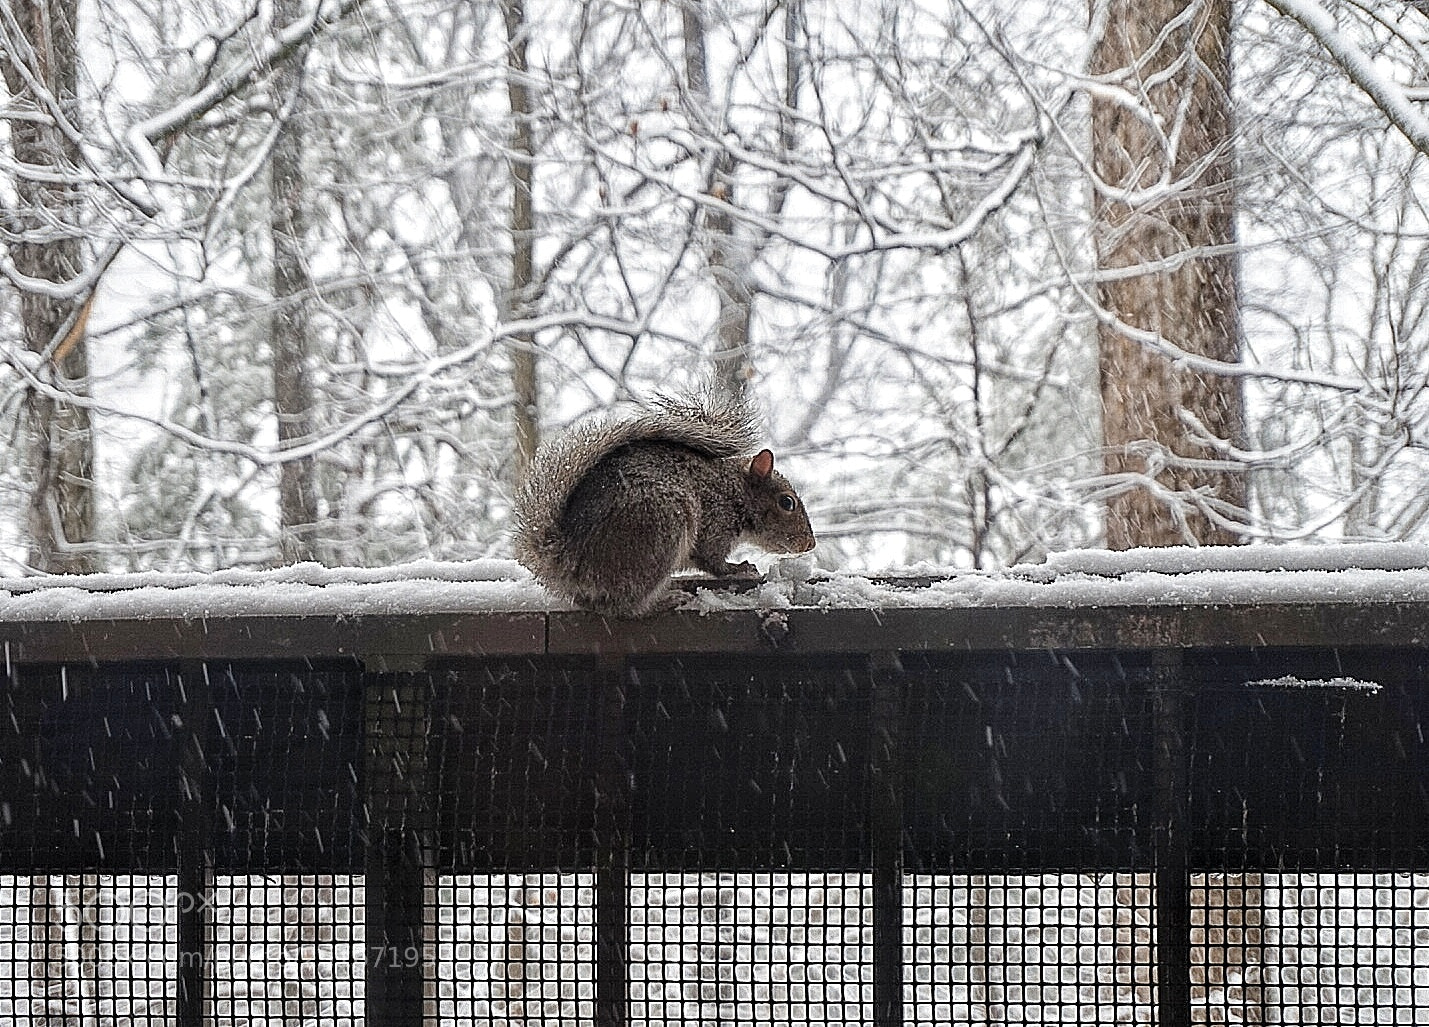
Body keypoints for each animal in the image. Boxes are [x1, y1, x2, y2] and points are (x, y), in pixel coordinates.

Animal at [513, 391, 816, 617]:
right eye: (786, 502)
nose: (809, 544)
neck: (734, 491)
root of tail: (568, 558)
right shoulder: (716, 523)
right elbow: (713, 561)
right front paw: (739, 569)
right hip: (661, 532)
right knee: (625, 606)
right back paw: (665, 601)